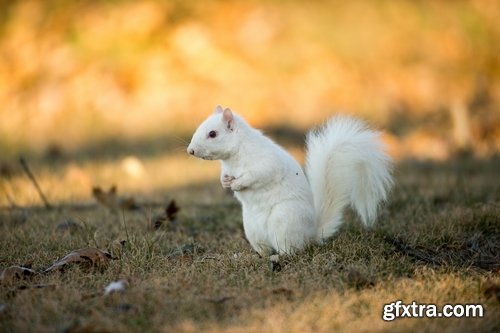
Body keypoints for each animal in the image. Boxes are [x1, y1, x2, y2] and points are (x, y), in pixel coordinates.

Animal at [186, 105, 392, 254]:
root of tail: (311, 233)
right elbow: (224, 176)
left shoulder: (266, 164)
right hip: (252, 230)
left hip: (285, 221)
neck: (234, 156)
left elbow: (256, 176)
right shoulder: (227, 168)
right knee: (265, 249)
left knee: (291, 250)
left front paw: (237, 184)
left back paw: (281, 257)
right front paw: (226, 183)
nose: (191, 150)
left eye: (213, 134)